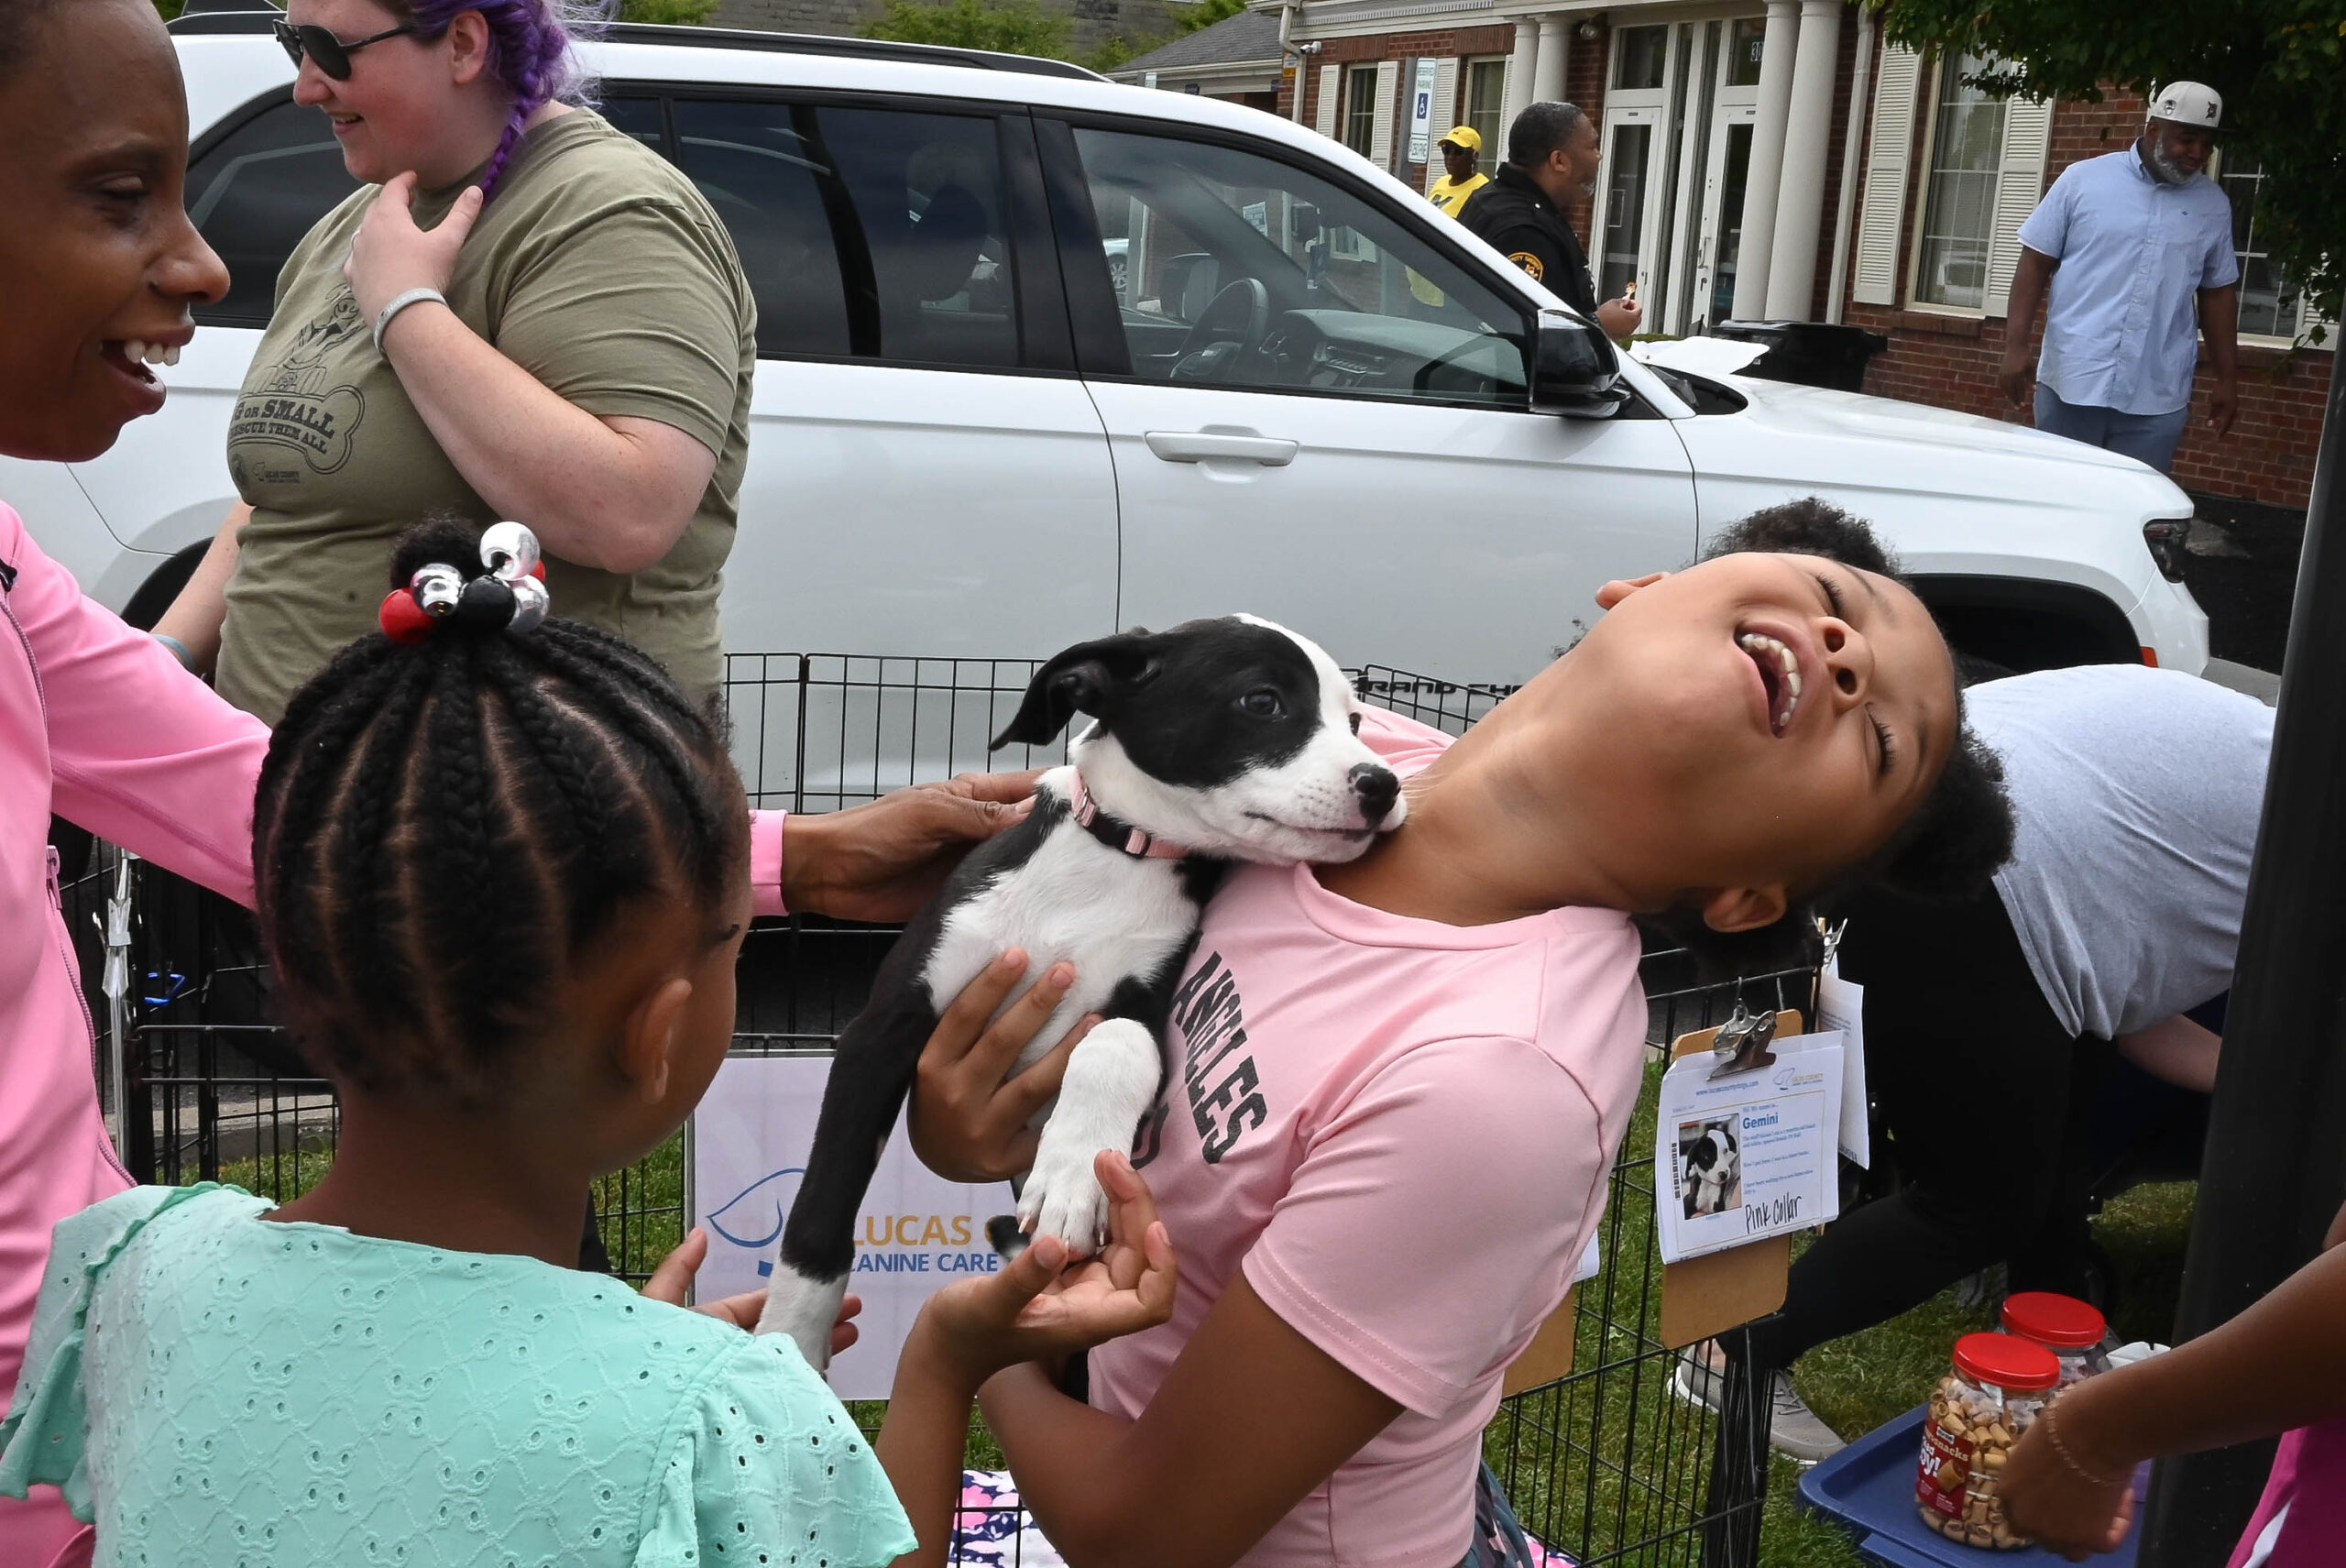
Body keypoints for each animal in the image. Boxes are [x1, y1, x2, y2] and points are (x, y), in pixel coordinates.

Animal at [755, 615, 1405, 1371]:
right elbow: (821, 1210)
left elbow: (1113, 1041)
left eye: (1354, 719)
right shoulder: (882, 1026)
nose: (1382, 784)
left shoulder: (1147, 1005)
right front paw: (788, 1341)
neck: (1115, 859)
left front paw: (1072, 1178)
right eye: (1263, 701)